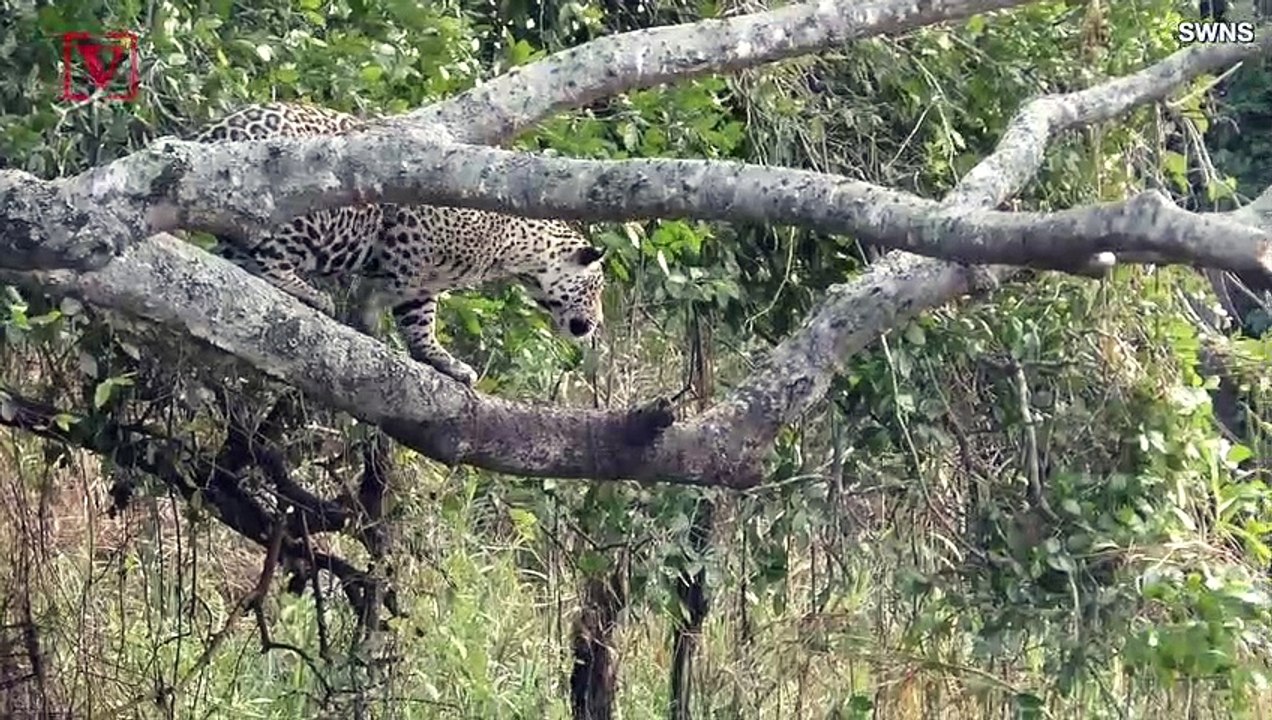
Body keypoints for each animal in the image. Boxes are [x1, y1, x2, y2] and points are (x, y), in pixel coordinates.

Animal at [181, 102, 607, 386]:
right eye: (595, 288)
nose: (597, 322)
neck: (518, 249)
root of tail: (210, 135)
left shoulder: (429, 280)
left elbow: (420, 322)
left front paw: (443, 361)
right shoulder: (412, 232)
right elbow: (397, 289)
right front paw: (370, 317)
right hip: (317, 206)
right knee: (261, 259)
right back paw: (311, 293)